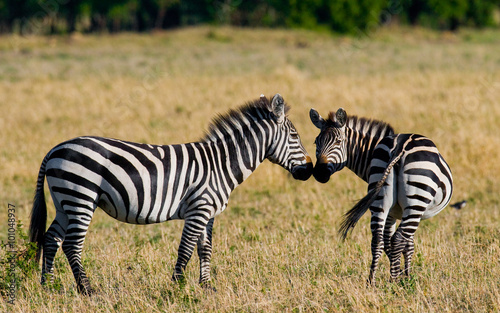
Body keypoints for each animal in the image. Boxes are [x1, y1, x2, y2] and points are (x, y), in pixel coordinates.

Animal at [28, 93, 312, 292]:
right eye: (295, 136)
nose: (310, 170)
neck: (220, 164)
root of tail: (55, 149)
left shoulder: (208, 213)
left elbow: (205, 249)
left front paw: (206, 287)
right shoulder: (199, 209)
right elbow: (185, 249)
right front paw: (177, 286)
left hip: (64, 202)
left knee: (51, 239)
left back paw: (48, 286)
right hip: (81, 197)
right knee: (72, 244)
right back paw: (87, 289)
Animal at [308, 106, 454, 282]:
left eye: (338, 141)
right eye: (316, 142)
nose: (319, 173)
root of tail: (399, 147)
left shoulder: (391, 212)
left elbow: (387, 241)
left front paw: (399, 272)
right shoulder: (400, 212)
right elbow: (407, 244)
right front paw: (405, 275)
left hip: (380, 198)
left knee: (377, 239)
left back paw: (372, 281)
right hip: (416, 202)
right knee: (399, 239)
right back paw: (395, 281)